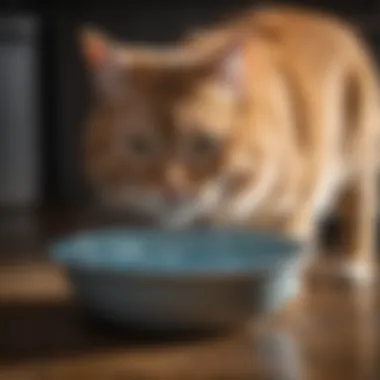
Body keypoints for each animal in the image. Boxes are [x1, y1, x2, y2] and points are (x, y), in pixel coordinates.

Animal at [78, 4, 378, 280]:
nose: (171, 190)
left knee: (358, 207)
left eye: (204, 143)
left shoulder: (289, 211)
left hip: (358, 157)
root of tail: (323, 19)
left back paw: (354, 265)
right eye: (138, 145)